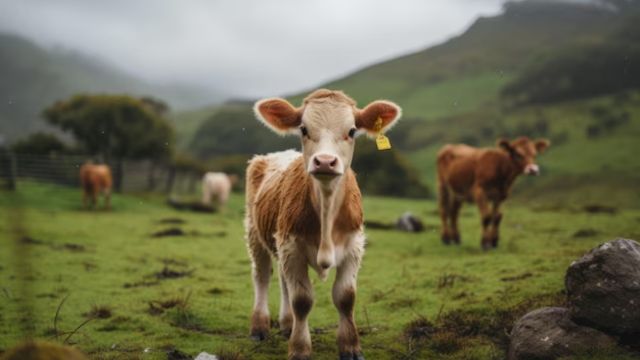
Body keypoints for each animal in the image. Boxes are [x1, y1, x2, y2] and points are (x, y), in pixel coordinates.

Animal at [244, 90, 400, 360]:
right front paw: (299, 349)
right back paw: (260, 327)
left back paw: (287, 325)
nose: (325, 161)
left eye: (352, 131)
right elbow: (302, 300)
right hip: (255, 234)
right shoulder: (292, 247)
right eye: (304, 129)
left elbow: (345, 297)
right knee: (262, 276)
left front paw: (350, 347)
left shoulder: (353, 247)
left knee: (283, 280)